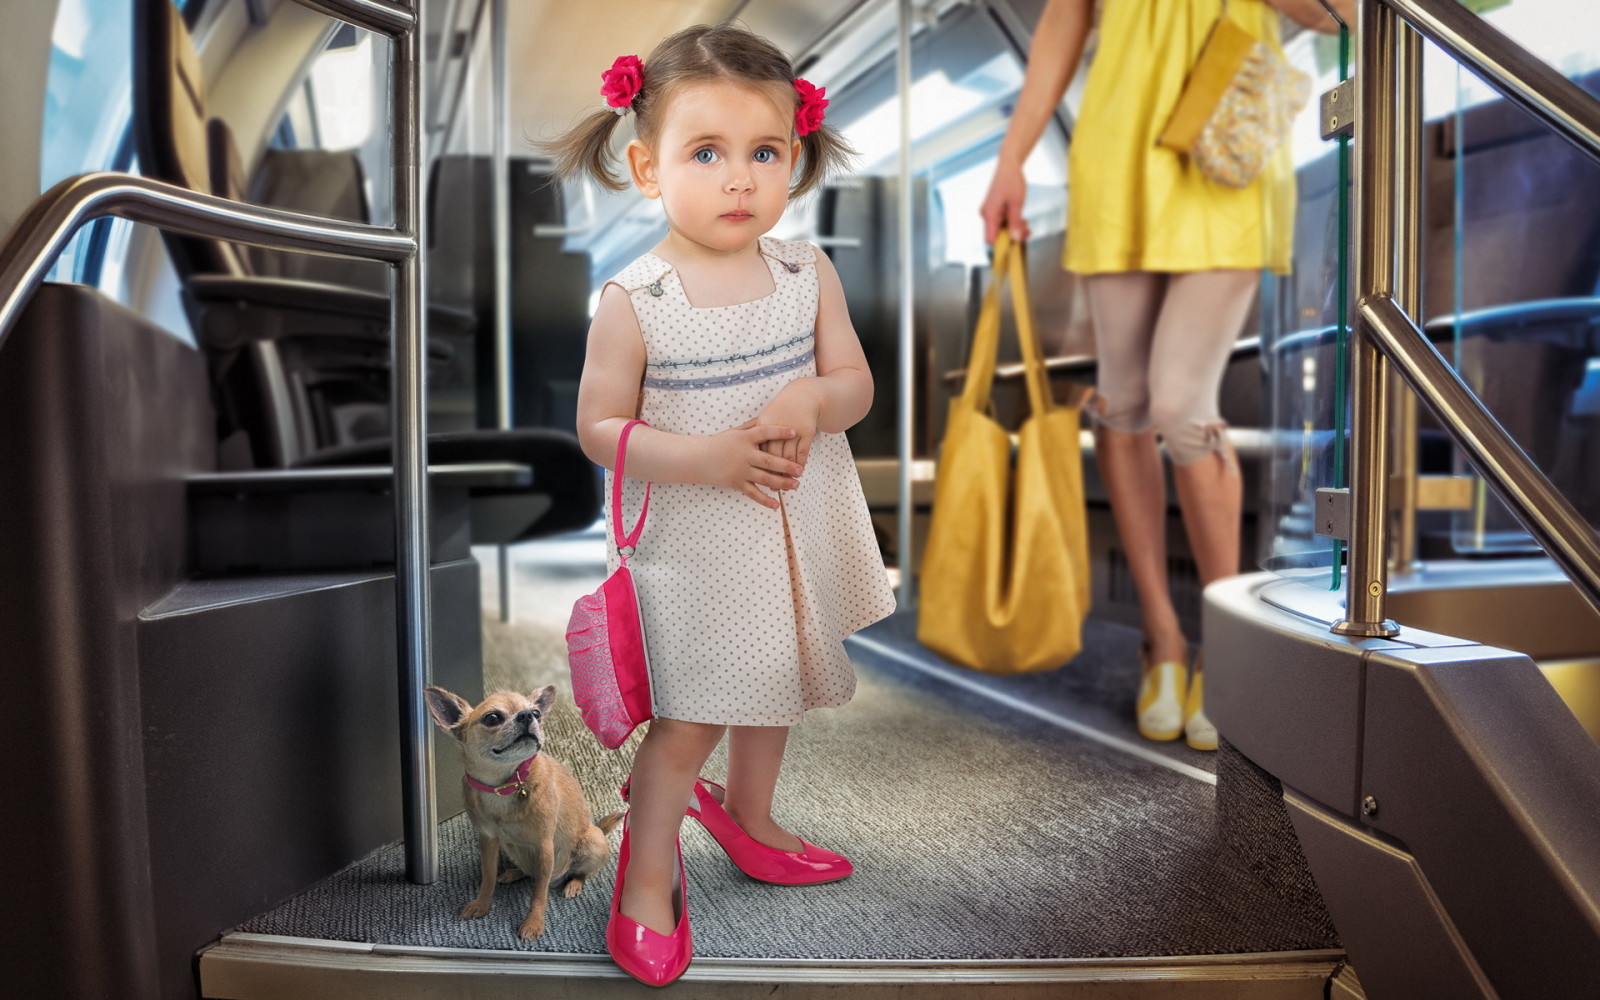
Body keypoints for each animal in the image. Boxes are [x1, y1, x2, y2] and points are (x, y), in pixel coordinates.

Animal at [428, 681, 620, 940]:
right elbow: (488, 876)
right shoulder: (488, 840)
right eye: (492, 718)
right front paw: (482, 904)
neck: (503, 785)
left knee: (576, 873)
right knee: (531, 872)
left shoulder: (545, 846)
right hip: (512, 847)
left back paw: (572, 884)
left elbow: (539, 893)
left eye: (537, 713)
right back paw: (514, 873)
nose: (528, 715)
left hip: (593, 842)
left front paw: (533, 923)